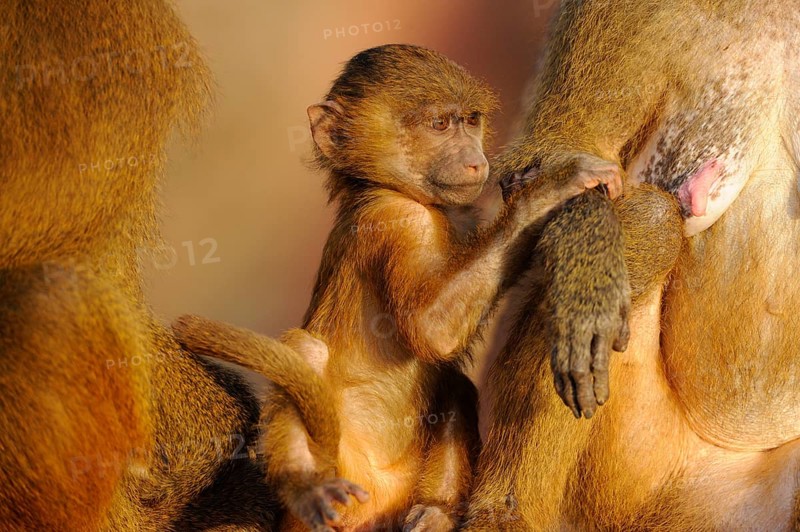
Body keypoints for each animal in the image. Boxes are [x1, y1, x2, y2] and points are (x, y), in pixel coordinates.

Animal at [171, 43, 623, 531]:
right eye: (439, 124)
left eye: (471, 120)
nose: (476, 161)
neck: (382, 188)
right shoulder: (398, 220)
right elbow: (432, 331)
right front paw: (550, 188)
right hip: (346, 474)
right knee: (308, 353)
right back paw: (306, 486)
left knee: (451, 384)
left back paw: (436, 512)